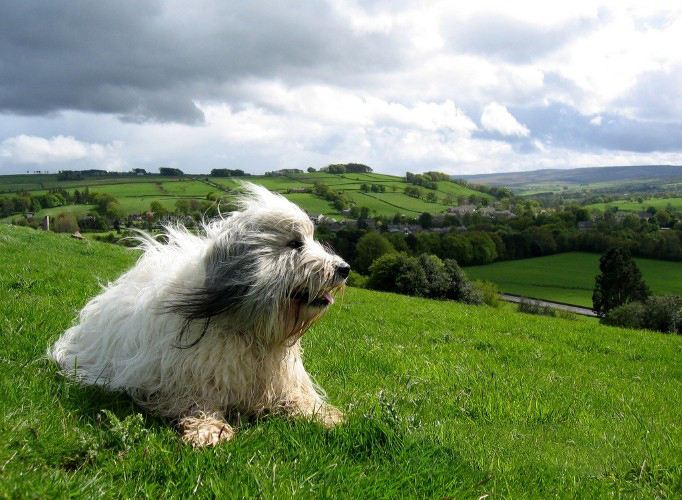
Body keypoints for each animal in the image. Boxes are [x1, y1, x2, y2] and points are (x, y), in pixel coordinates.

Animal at [48, 186, 348, 448]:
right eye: (295, 243)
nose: (344, 268)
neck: (247, 327)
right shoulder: (173, 382)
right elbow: (197, 401)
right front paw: (209, 428)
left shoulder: (283, 380)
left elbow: (297, 397)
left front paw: (323, 414)